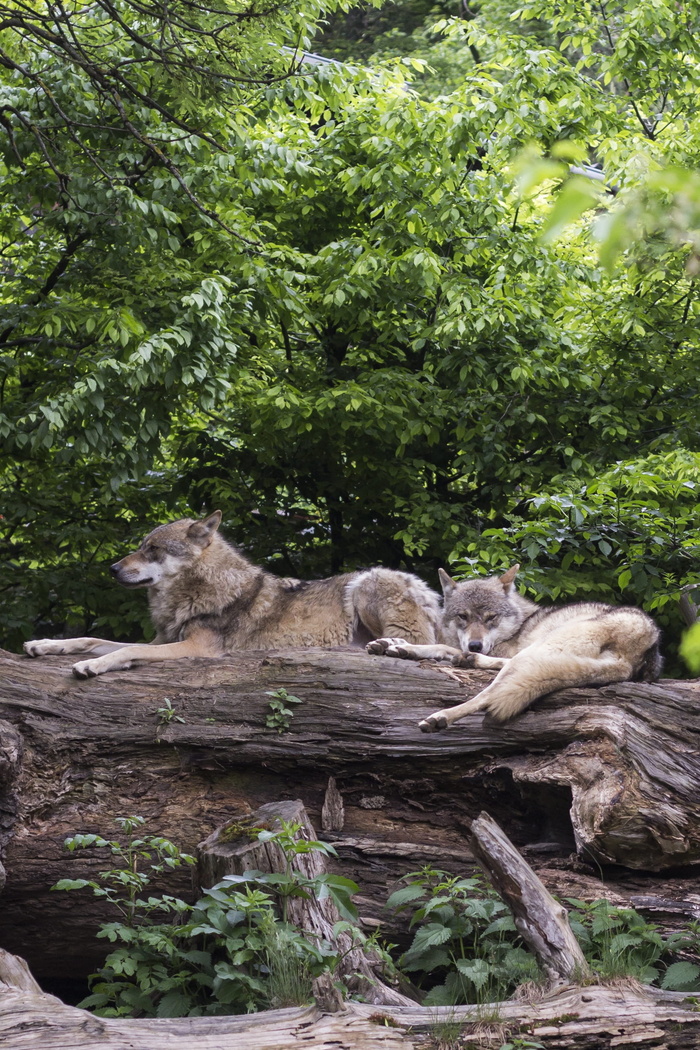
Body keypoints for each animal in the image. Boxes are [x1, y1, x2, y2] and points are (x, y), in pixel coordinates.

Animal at [23, 510, 442, 680]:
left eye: (152, 550)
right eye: (140, 547)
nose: (111, 569)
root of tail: (430, 592)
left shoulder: (195, 647)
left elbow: (122, 652)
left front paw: (92, 666)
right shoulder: (159, 639)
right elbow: (90, 638)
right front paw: (44, 645)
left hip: (365, 584)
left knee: (417, 643)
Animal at [367, 562, 663, 734]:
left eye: (490, 618)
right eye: (463, 616)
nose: (475, 643)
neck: (518, 624)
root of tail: (643, 640)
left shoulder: (503, 648)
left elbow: (441, 644)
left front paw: (403, 646)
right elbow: (441, 646)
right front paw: (395, 645)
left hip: (531, 654)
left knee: (488, 694)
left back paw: (441, 716)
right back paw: (468, 661)